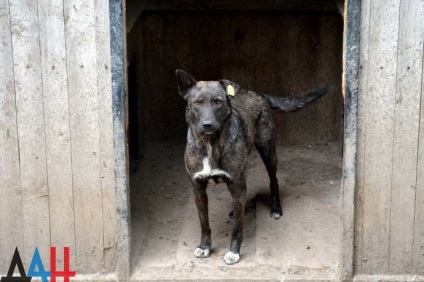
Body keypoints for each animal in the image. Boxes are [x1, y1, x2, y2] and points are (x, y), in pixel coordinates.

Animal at [176, 70, 328, 264]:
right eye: (197, 103)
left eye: (218, 102)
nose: (207, 124)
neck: (210, 143)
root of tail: (258, 93)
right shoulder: (198, 188)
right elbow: (204, 223)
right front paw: (204, 247)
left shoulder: (237, 182)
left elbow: (237, 227)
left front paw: (234, 252)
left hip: (268, 151)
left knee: (274, 181)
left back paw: (275, 209)